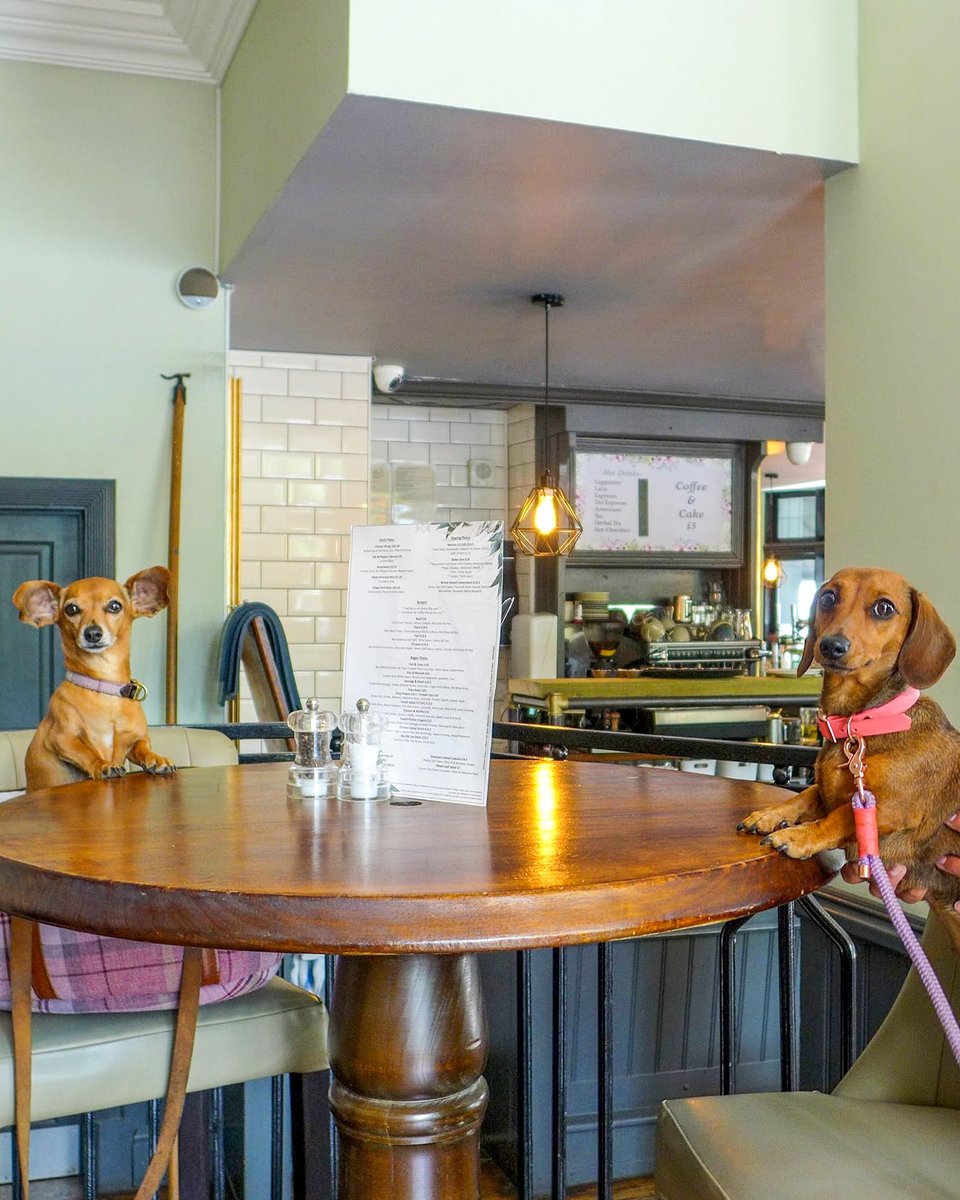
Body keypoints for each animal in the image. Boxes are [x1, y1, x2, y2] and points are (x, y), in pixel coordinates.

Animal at [12, 566, 176, 792]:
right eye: (71, 609)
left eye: (115, 606)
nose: (92, 633)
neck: (105, 686)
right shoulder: (61, 739)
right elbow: (86, 752)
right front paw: (103, 765)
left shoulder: (136, 740)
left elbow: (143, 748)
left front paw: (156, 759)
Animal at [744, 566, 960, 921]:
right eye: (828, 597)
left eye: (884, 607)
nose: (831, 646)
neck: (858, 725)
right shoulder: (827, 792)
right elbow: (806, 795)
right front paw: (770, 815)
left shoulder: (889, 808)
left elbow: (840, 815)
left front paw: (797, 835)